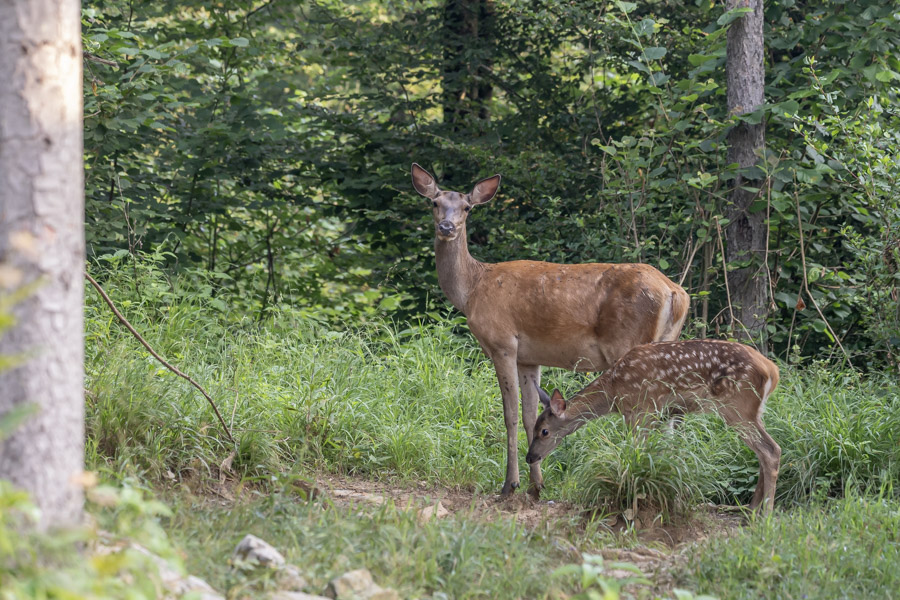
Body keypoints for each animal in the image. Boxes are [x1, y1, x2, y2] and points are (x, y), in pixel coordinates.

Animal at [412, 163, 692, 496]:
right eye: (435, 203)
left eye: (467, 208)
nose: (446, 227)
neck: (472, 290)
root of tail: (675, 293)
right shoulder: (529, 357)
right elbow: (529, 415)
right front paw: (537, 485)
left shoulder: (502, 343)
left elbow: (509, 415)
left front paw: (510, 484)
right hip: (666, 345)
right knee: (671, 417)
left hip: (630, 344)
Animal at [528, 340, 780, 512]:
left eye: (544, 431)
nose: (530, 457)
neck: (613, 392)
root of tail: (772, 370)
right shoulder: (664, 414)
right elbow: (665, 453)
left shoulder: (642, 410)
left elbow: (637, 452)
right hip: (754, 411)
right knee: (764, 451)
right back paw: (752, 509)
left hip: (738, 406)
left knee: (771, 450)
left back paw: (765, 513)